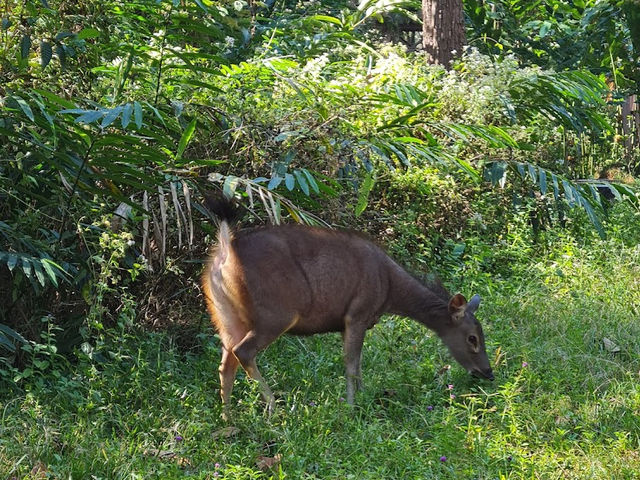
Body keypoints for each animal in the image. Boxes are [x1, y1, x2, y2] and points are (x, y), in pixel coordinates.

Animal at [202, 195, 492, 416]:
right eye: (472, 338)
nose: (487, 373)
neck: (390, 290)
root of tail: (226, 251)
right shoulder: (357, 313)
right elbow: (351, 363)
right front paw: (353, 408)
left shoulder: (347, 322)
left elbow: (358, 363)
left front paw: (363, 398)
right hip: (275, 315)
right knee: (244, 352)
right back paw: (274, 409)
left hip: (226, 318)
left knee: (226, 364)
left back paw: (228, 418)